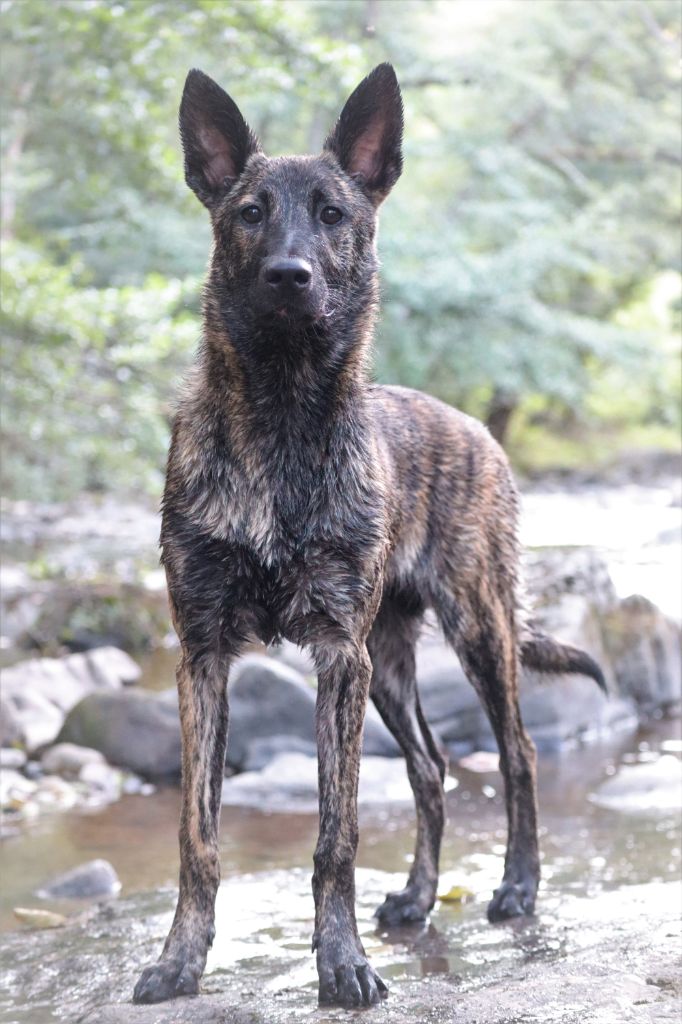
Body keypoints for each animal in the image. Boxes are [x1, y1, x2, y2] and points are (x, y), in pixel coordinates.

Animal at [131, 61, 602, 1007]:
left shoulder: (335, 655)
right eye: (249, 212)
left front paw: (341, 962)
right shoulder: (204, 657)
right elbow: (198, 837)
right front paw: (180, 958)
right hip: (389, 662)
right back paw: (419, 898)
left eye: (333, 213)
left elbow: (335, 834)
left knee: (519, 753)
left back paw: (518, 886)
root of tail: (479, 430)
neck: (281, 420)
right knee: (431, 769)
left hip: (477, 630)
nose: (289, 276)